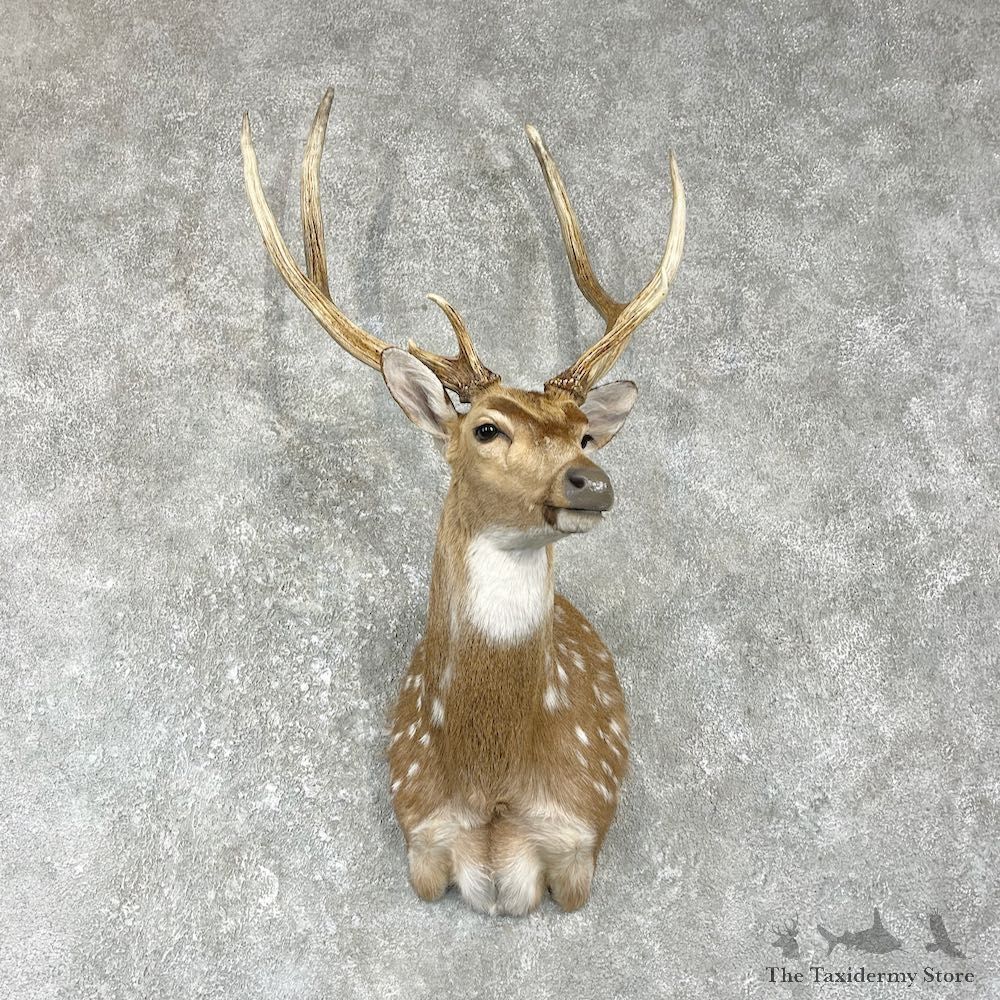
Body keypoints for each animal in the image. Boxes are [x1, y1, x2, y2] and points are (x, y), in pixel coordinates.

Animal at [240, 88, 685, 916]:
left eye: (585, 435)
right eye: (485, 427)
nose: (591, 481)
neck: (495, 787)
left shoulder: (580, 840)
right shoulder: (420, 832)